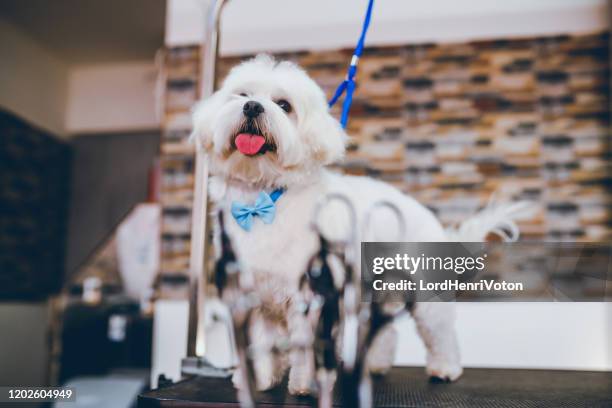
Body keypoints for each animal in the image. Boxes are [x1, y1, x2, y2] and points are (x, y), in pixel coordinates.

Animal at [190, 54, 520, 396]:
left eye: (284, 105)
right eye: (242, 95)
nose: (252, 107)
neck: (264, 200)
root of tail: (427, 216)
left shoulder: (313, 296)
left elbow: (307, 347)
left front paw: (305, 384)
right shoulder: (254, 296)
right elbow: (261, 344)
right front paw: (260, 380)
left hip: (426, 295)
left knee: (440, 333)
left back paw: (445, 369)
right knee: (386, 333)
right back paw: (375, 365)